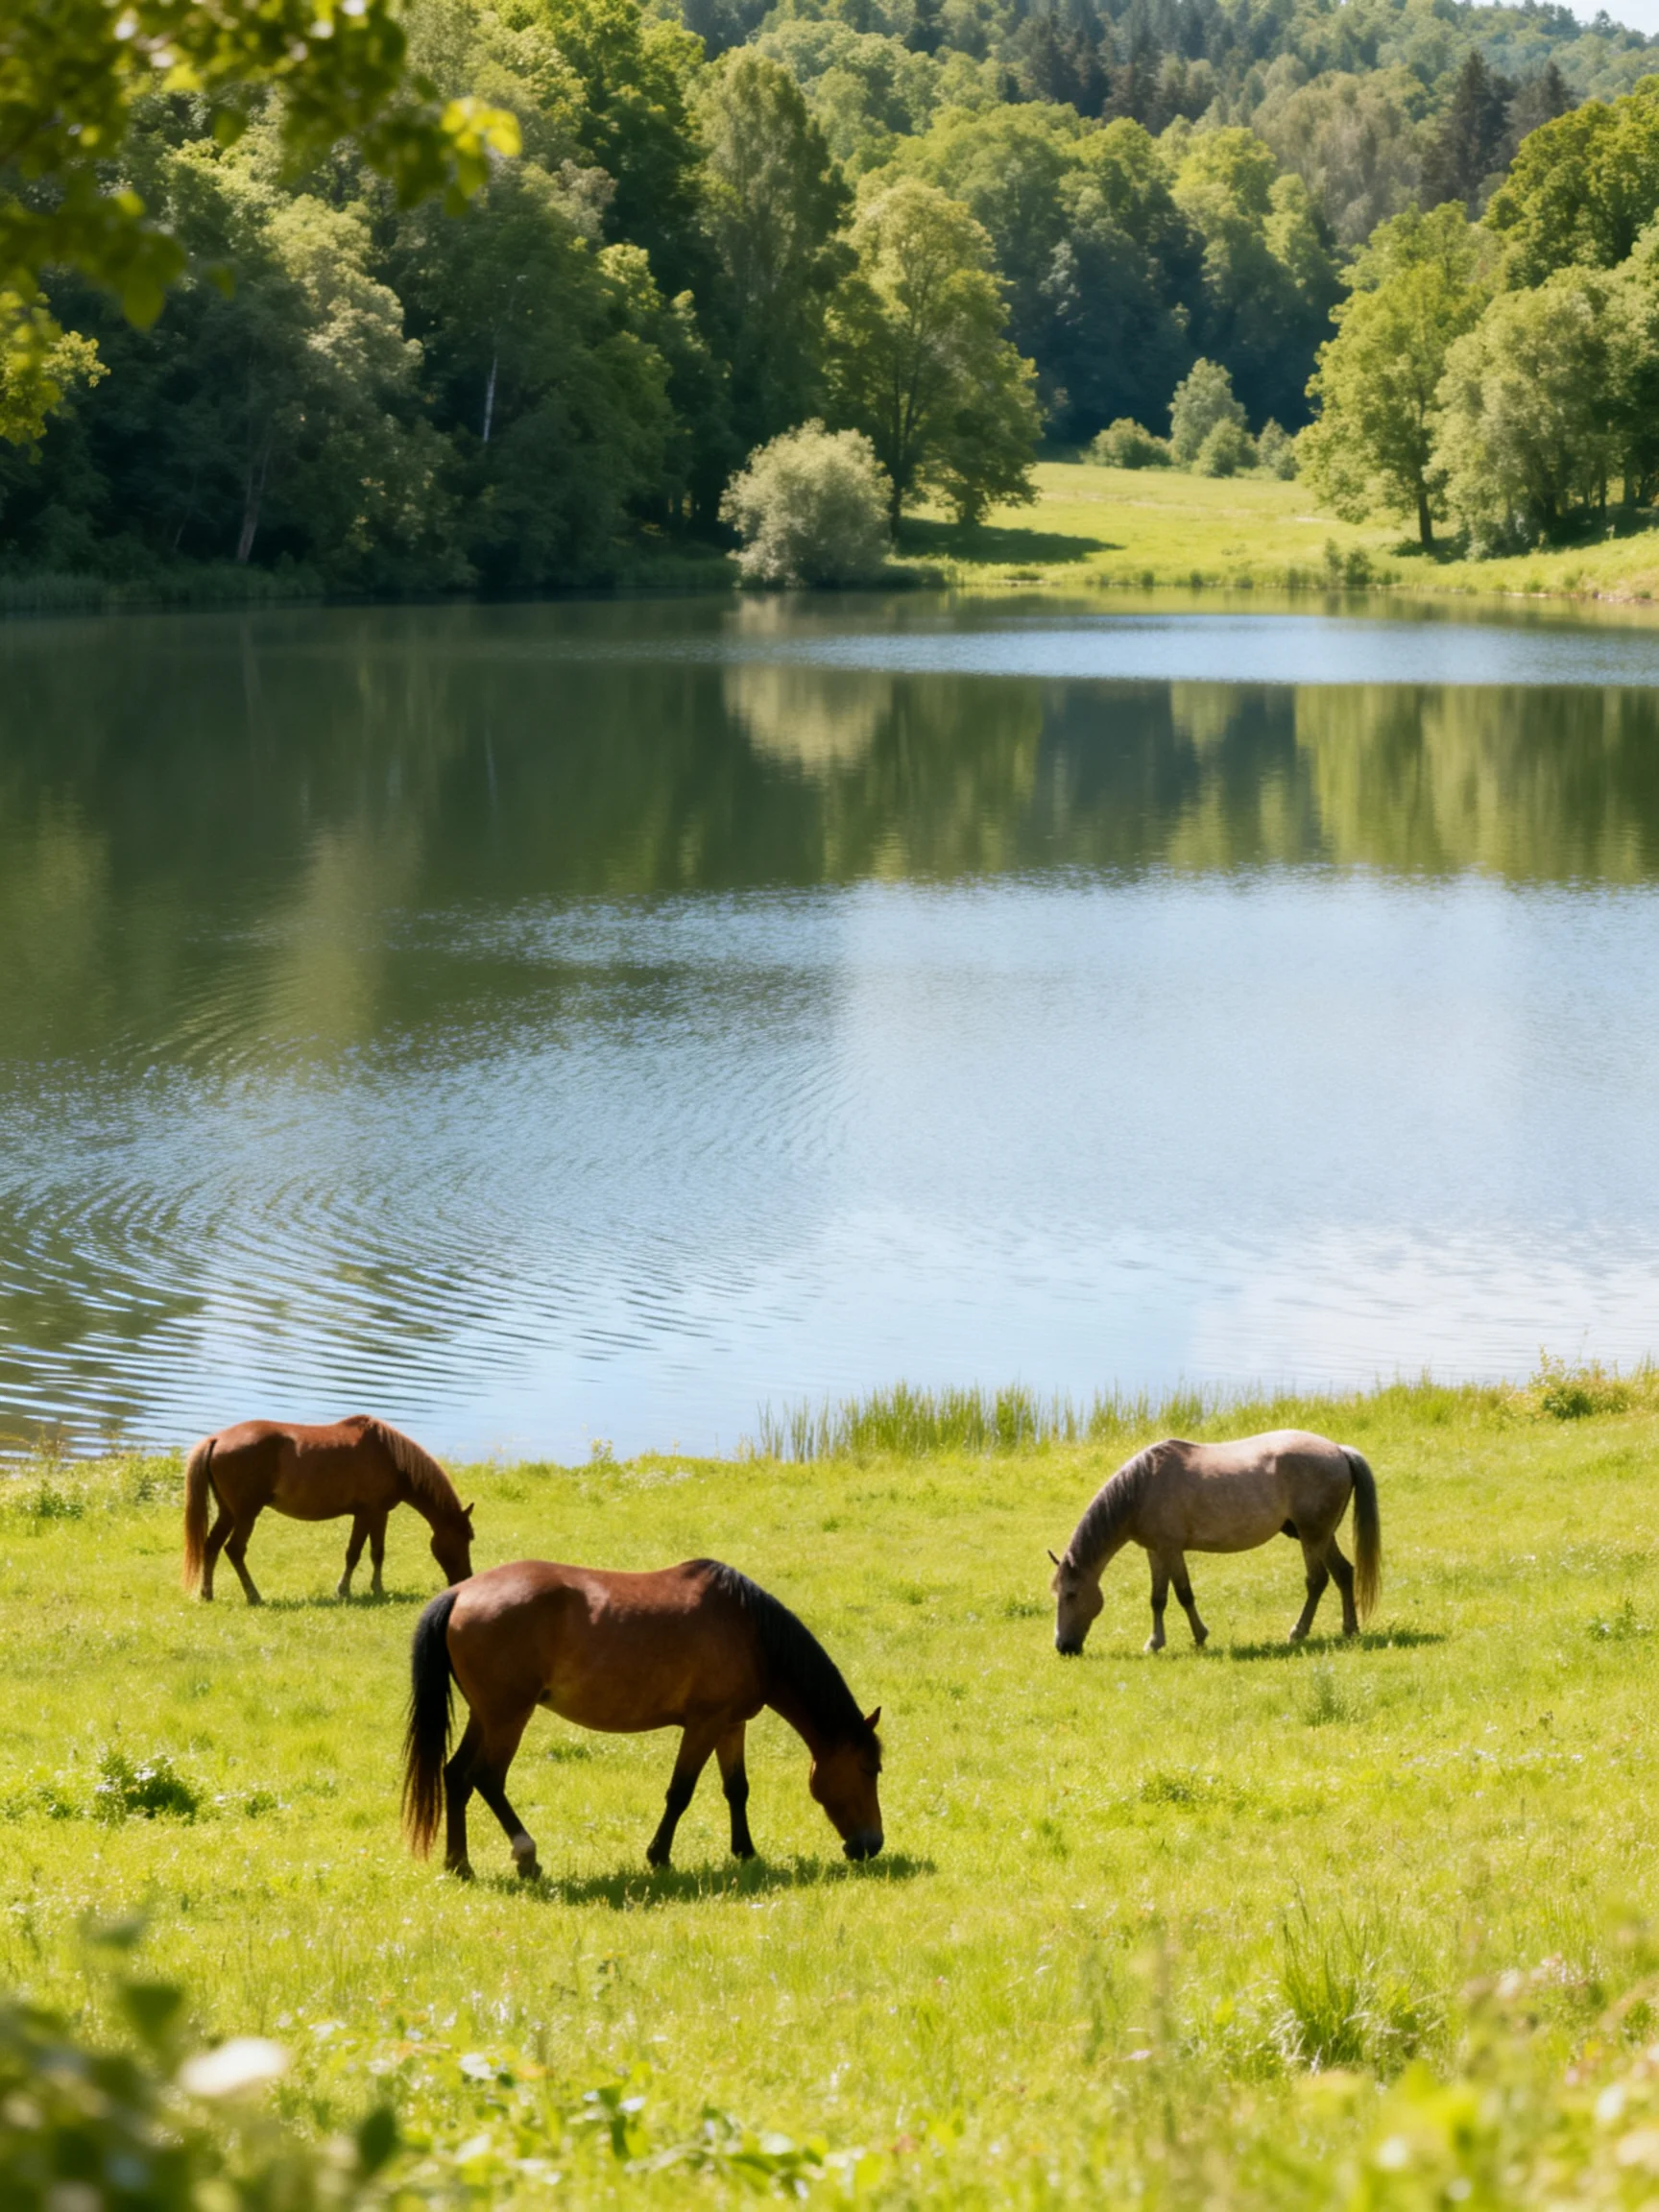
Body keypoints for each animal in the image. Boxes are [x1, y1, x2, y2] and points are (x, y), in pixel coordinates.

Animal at [181, 1415, 475, 1605]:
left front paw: (377, 1588)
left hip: (228, 1512)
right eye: (466, 1538)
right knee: (234, 1550)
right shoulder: (366, 1514)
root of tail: (217, 1440)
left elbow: (377, 1553)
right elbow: (353, 1554)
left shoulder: (380, 1514)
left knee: (211, 1546)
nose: (466, 1579)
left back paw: (207, 1594)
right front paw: (343, 1590)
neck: (390, 1456)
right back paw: (254, 1596)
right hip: (246, 1514)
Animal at [401, 1558, 884, 1880]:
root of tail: (460, 1593)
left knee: (456, 1776)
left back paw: (459, 1864)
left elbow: (737, 1789)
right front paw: (659, 1856)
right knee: (487, 1778)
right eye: (869, 1769)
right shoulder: (704, 1723)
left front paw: (745, 1851)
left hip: (484, 1715)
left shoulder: (731, 1724)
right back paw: (526, 1855)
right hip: (507, 1717)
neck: (750, 1631)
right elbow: (680, 1792)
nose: (872, 1845)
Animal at [1049, 1430, 1381, 1656]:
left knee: (1317, 1580)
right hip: (1321, 1536)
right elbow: (1158, 1598)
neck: (1142, 1488)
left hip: (1311, 1536)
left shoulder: (1171, 1550)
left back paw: (1298, 1633)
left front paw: (1199, 1637)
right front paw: (1154, 1642)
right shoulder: (1155, 1551)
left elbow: (1184, 1594)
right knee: (1343, 1573)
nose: (1063, 1646)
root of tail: (1338, 1451)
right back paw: (1350, 1629)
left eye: (1071, 1594)